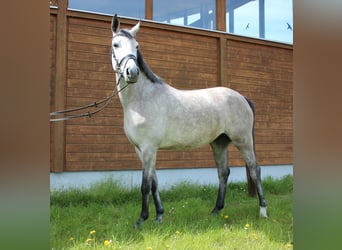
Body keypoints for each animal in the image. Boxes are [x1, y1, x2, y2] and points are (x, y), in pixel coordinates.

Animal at [109, 14, 268, 228]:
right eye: (116, 44)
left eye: (137, 46)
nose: (132, 72)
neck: (142, 99)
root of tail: (242, 97)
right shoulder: (141, 150)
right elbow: (154, 183)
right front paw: (159, 216)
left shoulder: (149, 148)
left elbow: (145, 185)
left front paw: (141, 220)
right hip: (219, 143)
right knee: (223, 172)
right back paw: (215, 211)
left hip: (243, 141)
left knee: (254, 170)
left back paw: (263, 211)